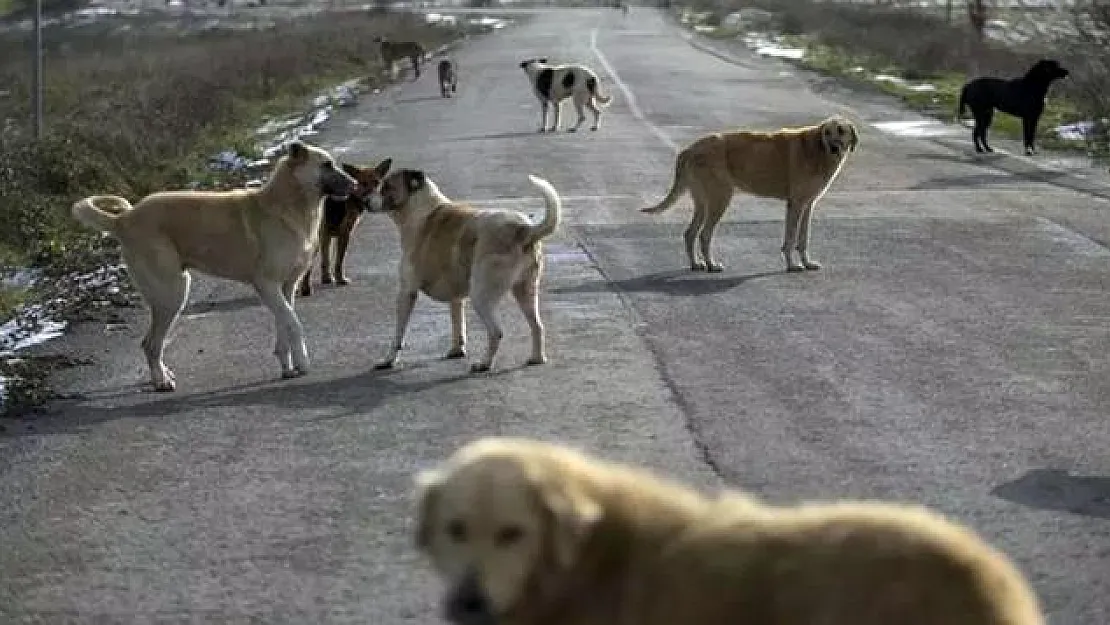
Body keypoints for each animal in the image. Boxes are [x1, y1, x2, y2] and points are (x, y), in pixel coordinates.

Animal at [70, 140, 355, 390]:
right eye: (327, 165)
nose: (354, 185)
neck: (288, 204)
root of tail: (124, 219)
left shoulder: (285, 288)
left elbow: (284, 324)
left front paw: (288, 366)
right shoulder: (267, 285)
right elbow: (294, 324)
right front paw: (303, 363)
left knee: (152, 344)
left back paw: (163, 375)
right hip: (172, 293)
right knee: (150, 344)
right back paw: (161, 381)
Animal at [299, 157, 395, 297]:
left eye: (376, 182)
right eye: (363, 183)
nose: (371, 201)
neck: (352, 196)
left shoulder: (326, 236)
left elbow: (326, 260)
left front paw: (327, 278)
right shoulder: (344, 234)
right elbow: (339, 261)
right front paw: (340, 279)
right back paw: (305, 288)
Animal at [370, 168, 563, 375]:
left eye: (386, 186)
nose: (364, 200)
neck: (420, 208)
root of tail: (523, 228)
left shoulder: (407, 292)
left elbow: (398, 334)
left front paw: (388, 360)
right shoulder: (455, 296)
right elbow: (457, 322)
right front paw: (457, 350)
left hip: (481, 296)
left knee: (496, 331)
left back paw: (484, 364)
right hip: (525, 291)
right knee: (537, 326)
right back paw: (537, 358)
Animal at [639, 117, 861, 274]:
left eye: (841, 131)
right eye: (827, 132)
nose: (833, 147)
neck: (817, 150)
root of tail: (690, 149)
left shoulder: (807, 205)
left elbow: (803, 239)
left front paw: (807, 263)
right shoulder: (796, 204)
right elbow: (790, 239)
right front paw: (792, 265)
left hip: (703, 202)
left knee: (690, 233)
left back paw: (696, 264)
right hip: (720, 199)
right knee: (704, 234)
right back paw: (711, 265)